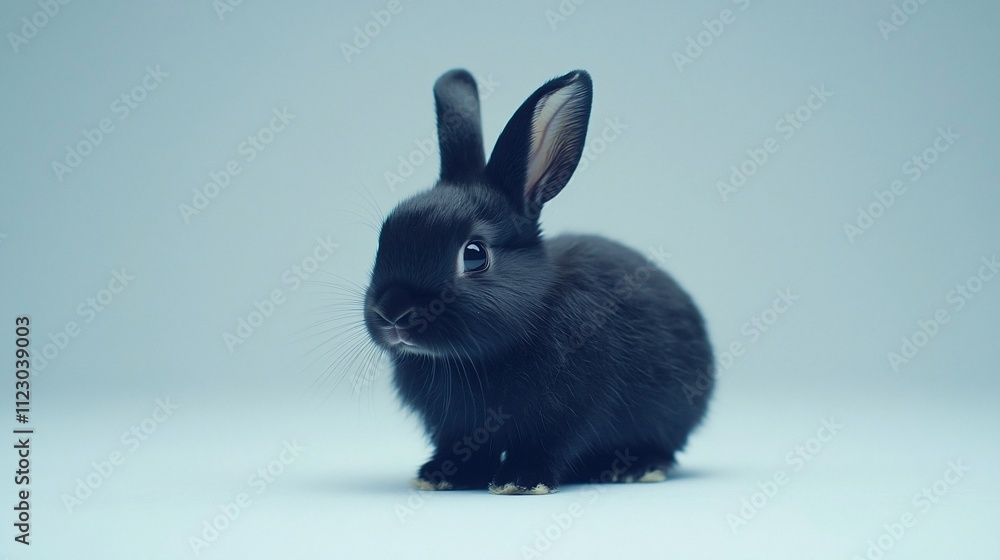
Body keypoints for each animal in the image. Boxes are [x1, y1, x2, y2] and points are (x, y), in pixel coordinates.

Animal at [363, 69, 714, 494]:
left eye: (474, 254)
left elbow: (547, 445)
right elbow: (462, 448)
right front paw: (440, 476)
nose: (393, 313)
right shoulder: (454, 427)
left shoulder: (569, 412)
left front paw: (520, 480)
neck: (471, 357)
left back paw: (632, 467)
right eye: (383, 240)